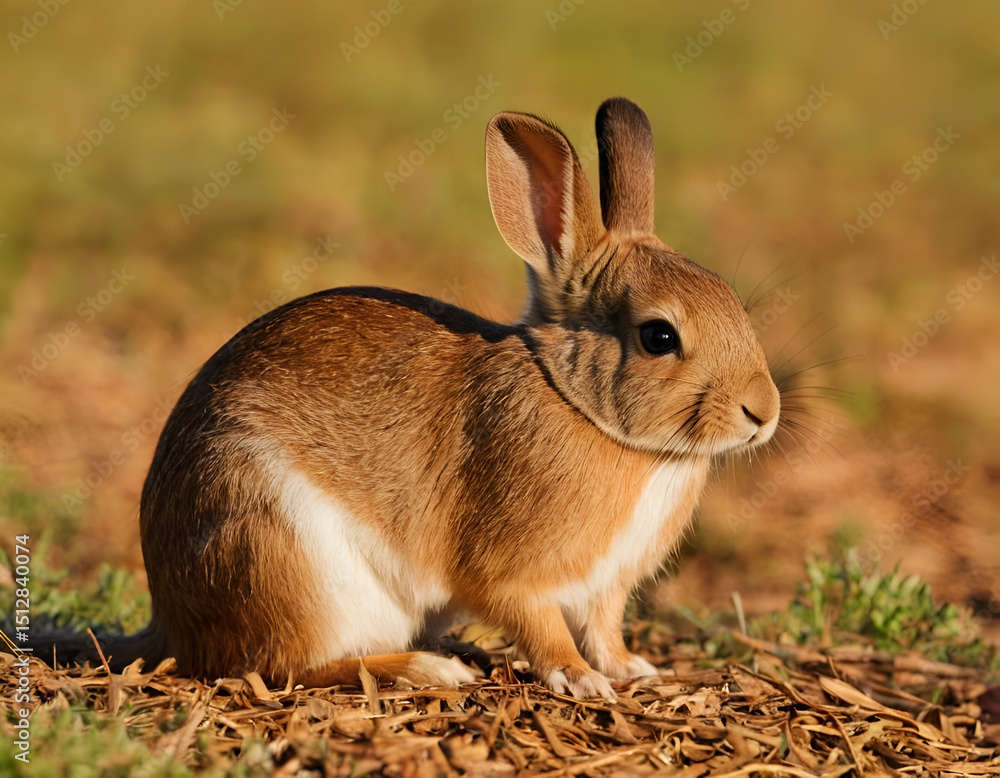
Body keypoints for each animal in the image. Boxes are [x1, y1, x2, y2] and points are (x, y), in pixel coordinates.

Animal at [37, 97, 779, 700]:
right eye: (659, 336)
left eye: (732, 301)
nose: (763, 413)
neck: (581, 408)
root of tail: (170, 621)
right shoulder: (515, 576)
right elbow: (542, 629)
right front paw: (580, 681)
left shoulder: (607, 589)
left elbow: (605, 629)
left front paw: (631, 669)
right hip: (283, 556)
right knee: (283, 667)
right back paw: (428, 669)